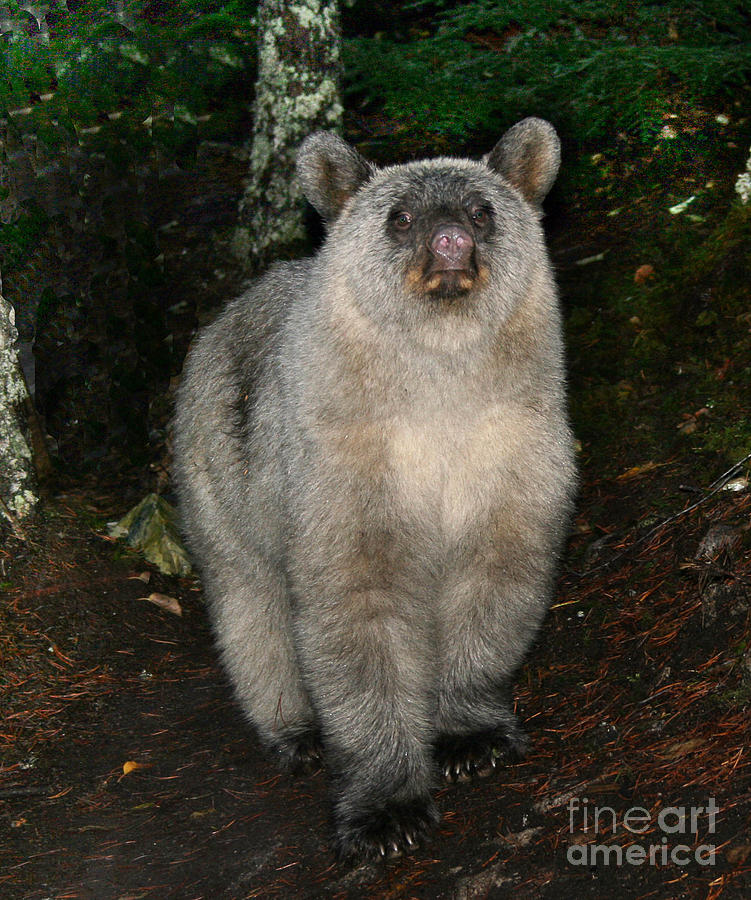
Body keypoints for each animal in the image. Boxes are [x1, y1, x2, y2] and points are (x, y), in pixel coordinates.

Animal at [172, 118, 577, 861]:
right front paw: (385, 809)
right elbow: (359, 616)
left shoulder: (514, 448)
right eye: (402, 216)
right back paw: (292, 729)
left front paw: (470, 734)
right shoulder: (344, 463)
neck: (440, 386)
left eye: (481, 208)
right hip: (221, 484)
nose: (451, 242)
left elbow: (496, 585)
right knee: (251, 607)